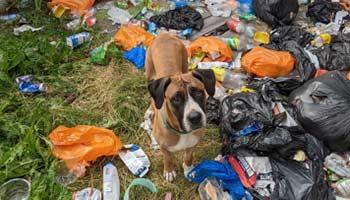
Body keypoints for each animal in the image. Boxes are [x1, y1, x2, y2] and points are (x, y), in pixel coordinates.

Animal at [144, 33, 215, 182]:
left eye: (199, 92)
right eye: (176, 99)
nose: (195, 118)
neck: (182, 132)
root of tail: (164, 34)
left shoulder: (193, 144)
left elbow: (188, 157)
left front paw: (188, 169)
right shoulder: (164, 147)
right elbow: (168, 158)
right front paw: (169, 171)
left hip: (184, 63)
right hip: (149, 74)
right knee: (153, 98)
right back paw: (150, 110)